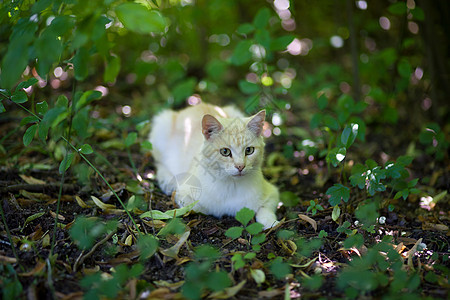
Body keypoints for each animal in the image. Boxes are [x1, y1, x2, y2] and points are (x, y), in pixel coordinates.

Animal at [149, 102, 280, 229]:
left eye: (249, 150)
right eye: (225, 152)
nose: (240, 166)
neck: (232, 185)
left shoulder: (272, 193)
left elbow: (265, 209)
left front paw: (271, 223)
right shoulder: (184, 195)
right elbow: (201, 208)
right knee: (159, 162)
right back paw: (167, 181)